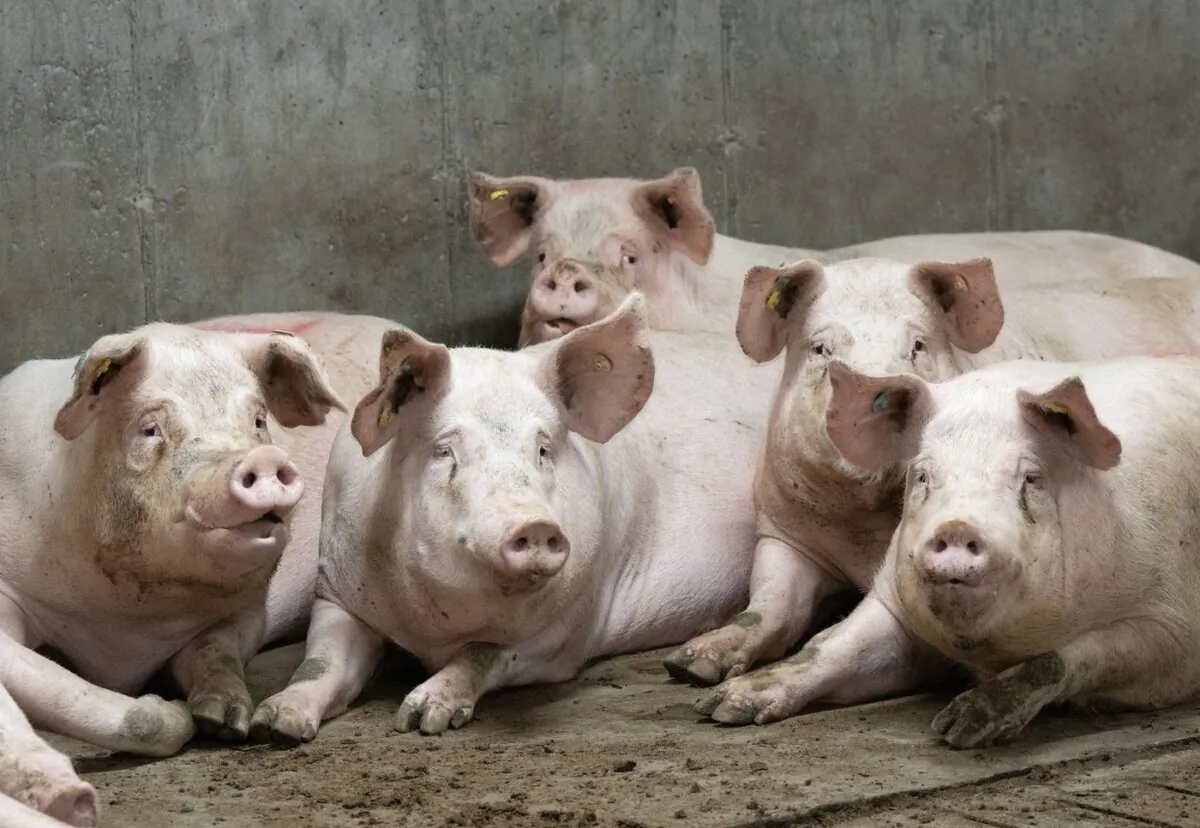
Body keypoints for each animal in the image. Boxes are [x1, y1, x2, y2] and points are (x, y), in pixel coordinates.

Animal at [0, 322, 348, 823]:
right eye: (150, 428)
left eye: (258, 420)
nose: (261, 460)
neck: (130, 625)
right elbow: (52, 678)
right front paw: (180, 719)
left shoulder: (249, 606)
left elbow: (216, 651)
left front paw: (225, 721)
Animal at [247, 293, 780, 742]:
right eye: (445, 450)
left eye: (543, 449)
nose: (534, 525)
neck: (432, 631)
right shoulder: (337, 592)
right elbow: (321, 663)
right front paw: (273, 725)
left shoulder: (571, 627)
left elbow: (484, 652)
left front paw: (421, 717)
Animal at [662, 256, 1200, 688]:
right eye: (820, 349)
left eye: (918, 345)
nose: (878, 389)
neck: (866, 532)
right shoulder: (783, 528)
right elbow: (770, 604)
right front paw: (689, 667)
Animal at [696, 356, 1200, 749]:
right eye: (922, 475)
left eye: (1030, 478)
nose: (957, 527)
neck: (985, 652)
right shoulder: (894, 600)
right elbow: (832, 647)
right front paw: (719, 707)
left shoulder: (1170, 630)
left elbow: (1061, 659)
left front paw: (959, 728)